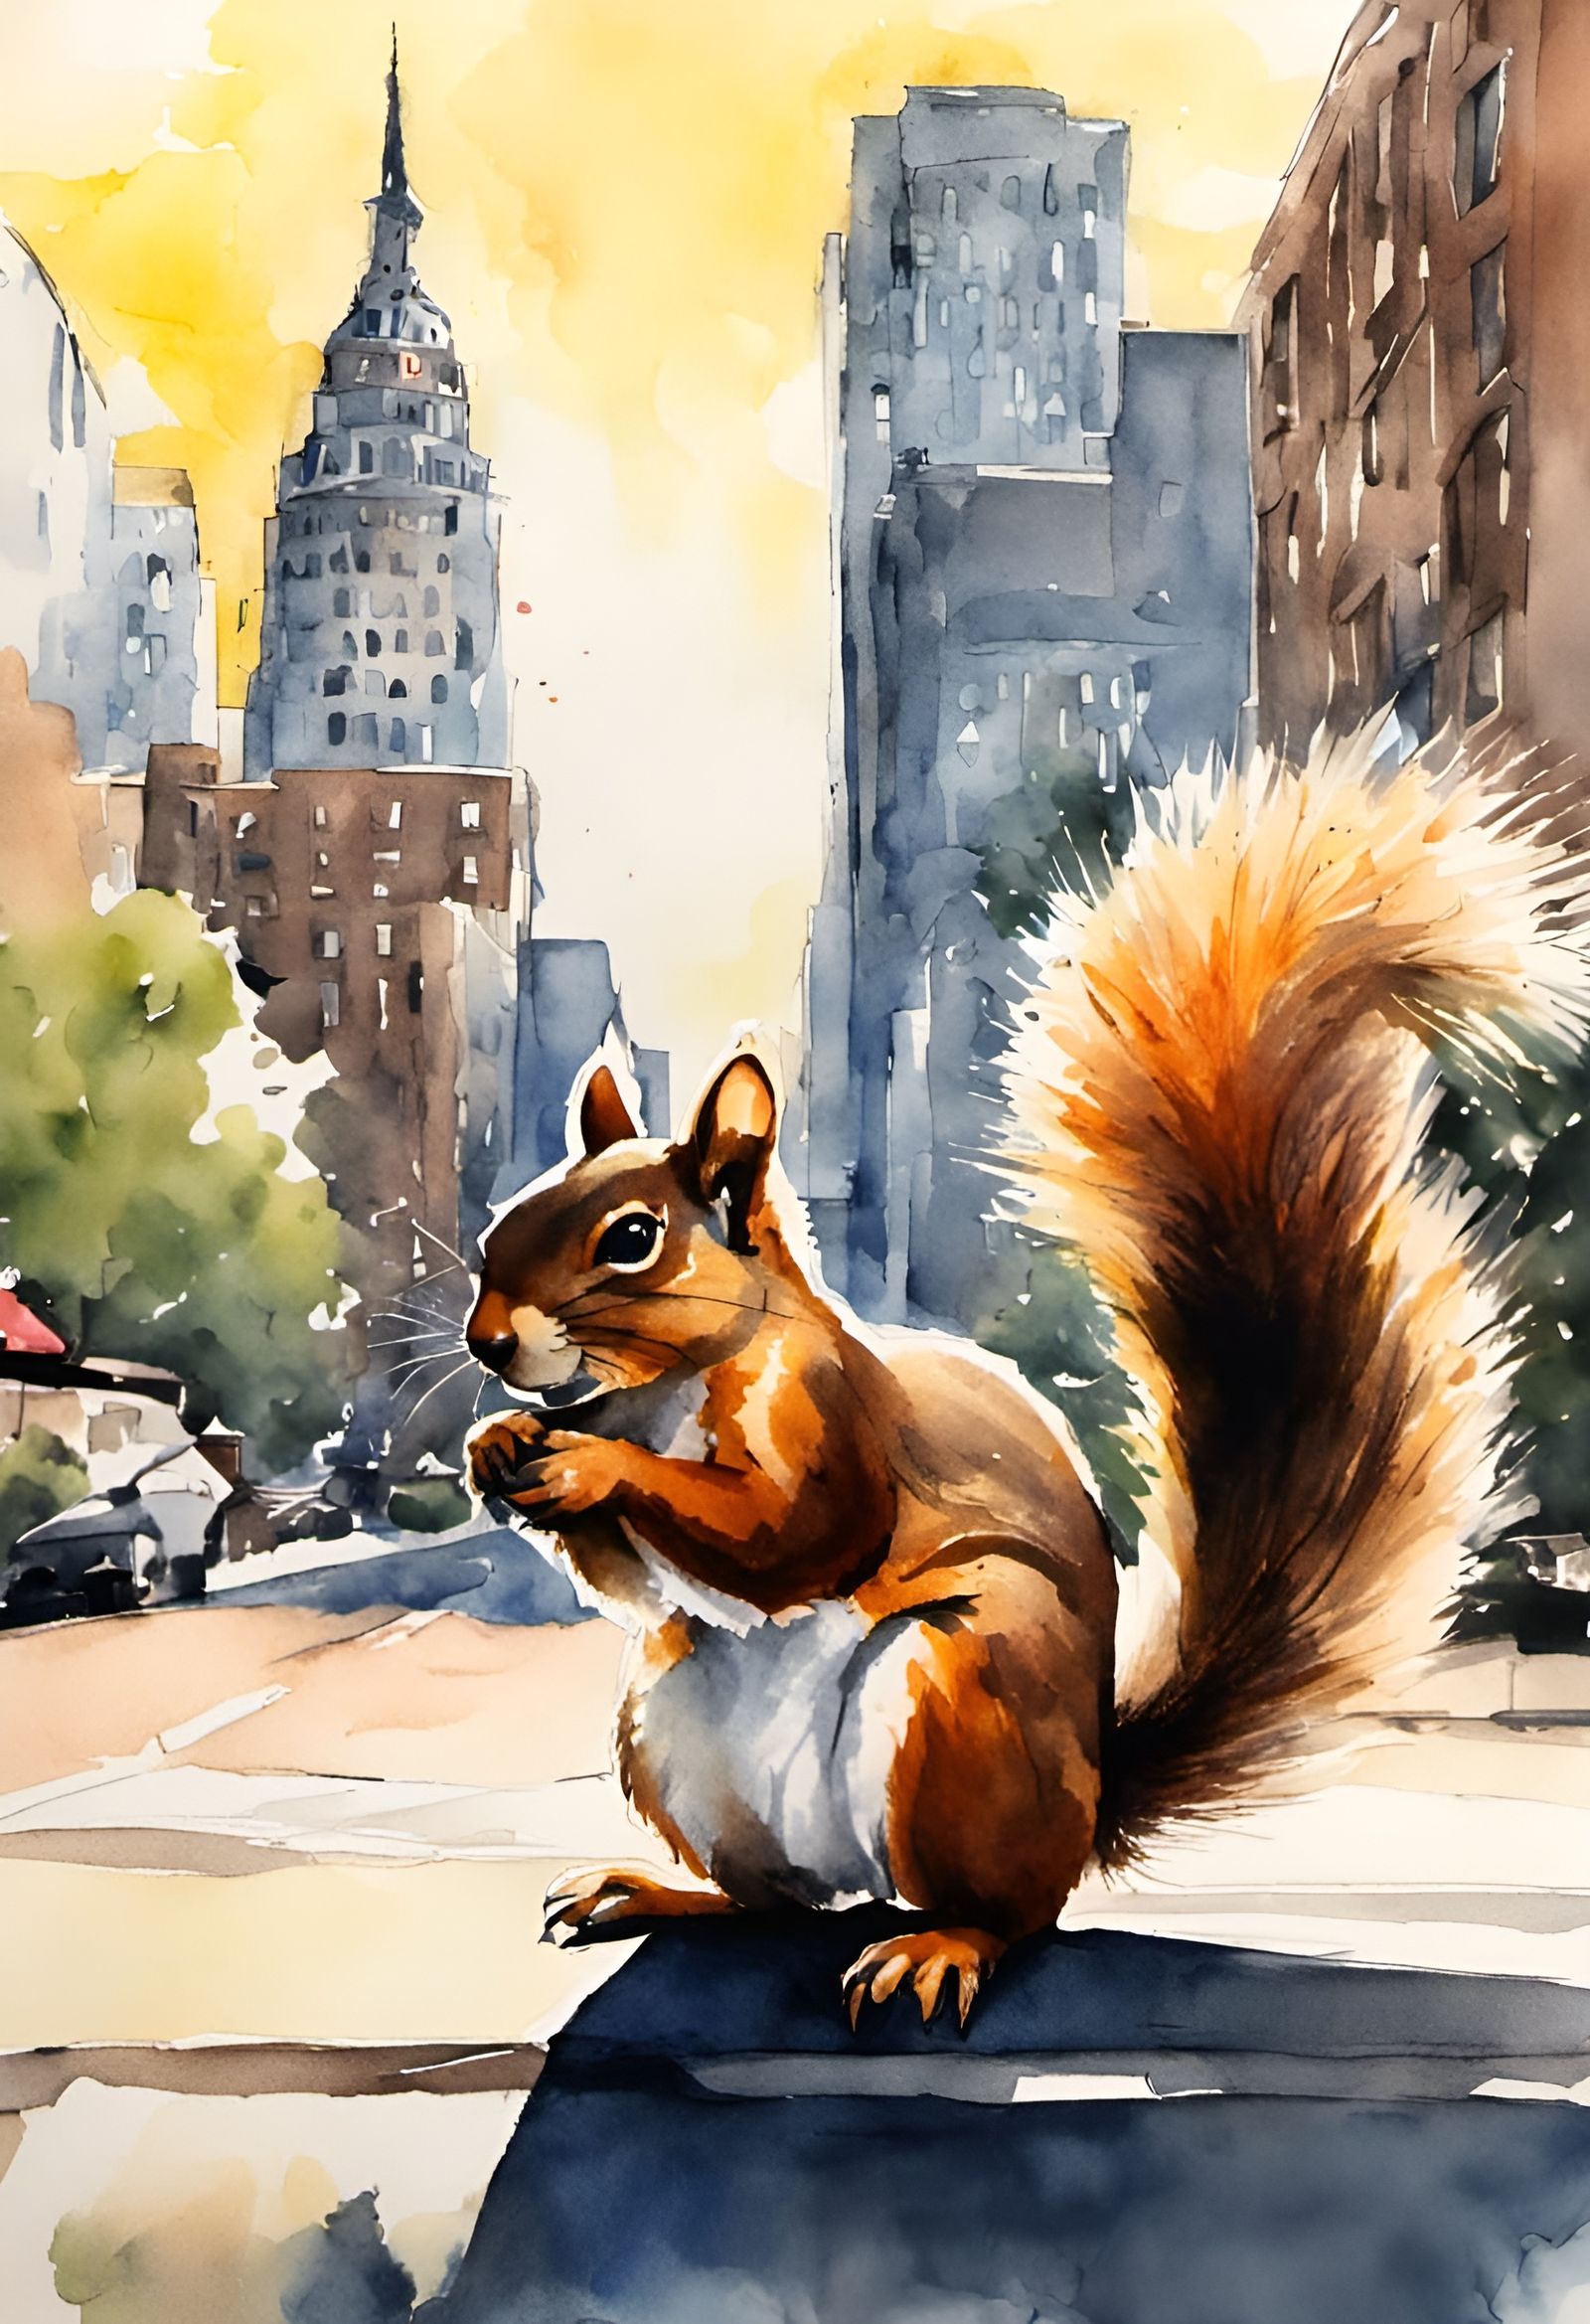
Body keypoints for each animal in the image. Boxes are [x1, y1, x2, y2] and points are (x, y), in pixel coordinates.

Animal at [465, 748, 1590, 2029]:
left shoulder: (832, 1415)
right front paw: (499, 1451)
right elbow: (636, 1579)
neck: (658, 1390)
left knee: (1003, 1911)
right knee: (770, 1899)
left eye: (632, 1240)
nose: (486, 1342)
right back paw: (655, 1890)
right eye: (503, 1225)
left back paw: (938, 1945)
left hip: (966, 1693)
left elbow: (793, 1536)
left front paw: (586, 1463)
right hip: (672, 1725)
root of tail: (1086, 1812)